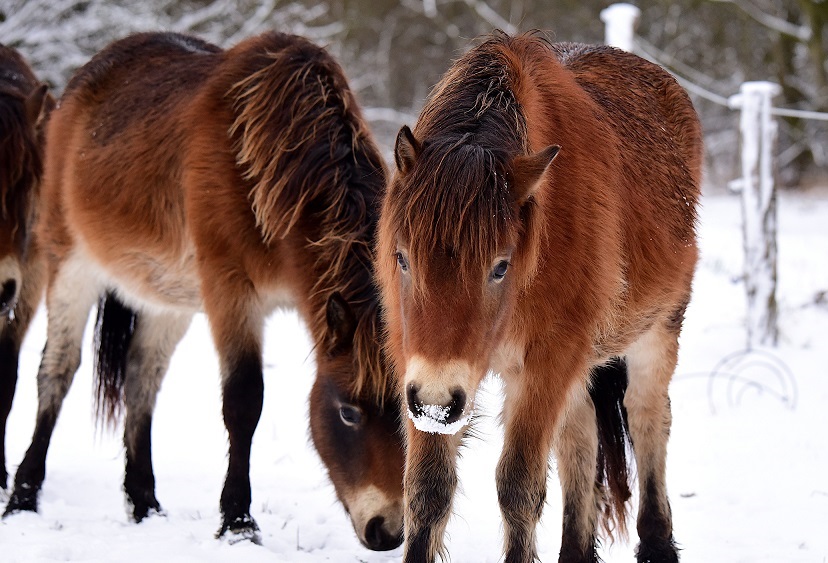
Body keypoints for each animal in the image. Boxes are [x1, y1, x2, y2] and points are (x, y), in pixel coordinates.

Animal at [3, 32, 404, 552]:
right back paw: (23, 496)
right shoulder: (230, 292)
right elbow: (244, 401)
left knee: (141, 378)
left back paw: (144, 504)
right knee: (57, 370)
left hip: (166, 300)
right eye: (349, 412)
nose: (387, 531)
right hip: (69, 265)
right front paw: (238, 522)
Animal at [378, 33, 700, 560]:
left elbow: (519, 489)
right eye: (402, 259)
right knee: (581, 436)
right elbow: (427, 490)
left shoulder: (546, 363)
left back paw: (657, 541)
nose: (436, 404)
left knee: (648, 415)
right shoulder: (416, 364)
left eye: (500, 266)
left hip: (657, 329)